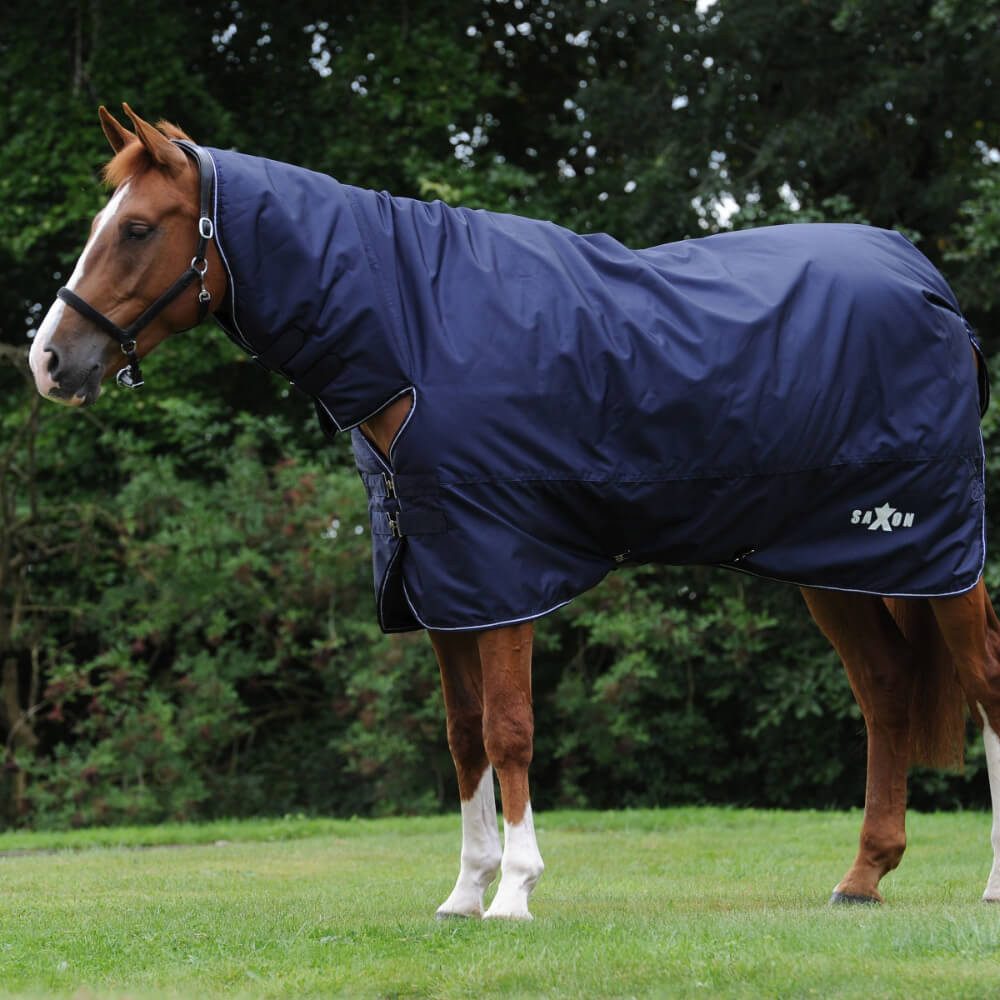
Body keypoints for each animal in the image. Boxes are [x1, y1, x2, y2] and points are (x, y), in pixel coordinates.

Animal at [29, 104, 1000, 920]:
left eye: (137, 228)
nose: (48, 361)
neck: (415, 333)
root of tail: (928, 283)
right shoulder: (440, 583)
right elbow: (464, 739)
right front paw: (465, 892)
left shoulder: (501, 572)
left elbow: (510, 730)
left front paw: (515, 894)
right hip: (838, 563)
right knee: (885, 693)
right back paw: (862, 877)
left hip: (938, 557)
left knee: (985, 684)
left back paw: (987, 884)